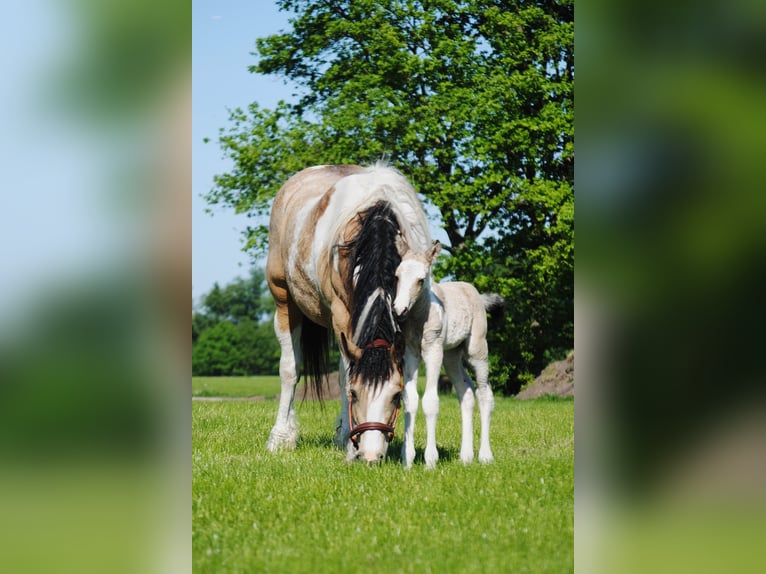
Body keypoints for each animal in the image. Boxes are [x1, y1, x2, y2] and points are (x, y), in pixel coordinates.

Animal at [265, 163, 432, 463]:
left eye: (396, 396)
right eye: (355, 395)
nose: (370, 455)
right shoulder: (342, 316)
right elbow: (343, 378)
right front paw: (348, 443)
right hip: (285, 302)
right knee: (290, 370)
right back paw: (282, 437)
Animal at [394, 243, 504, 468]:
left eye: (421, 279)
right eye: (397, 276)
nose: (399, 310)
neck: (420, 317)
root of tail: (476, 294)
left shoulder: (433, 351)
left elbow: (430, 401)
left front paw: (430, 460)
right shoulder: (411, 353)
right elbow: (410, 399)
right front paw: (407, 459)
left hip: (477, 350)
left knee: (485, 393)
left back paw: (485, 455)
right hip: (451, 356)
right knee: (466, 392)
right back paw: (466, 456)